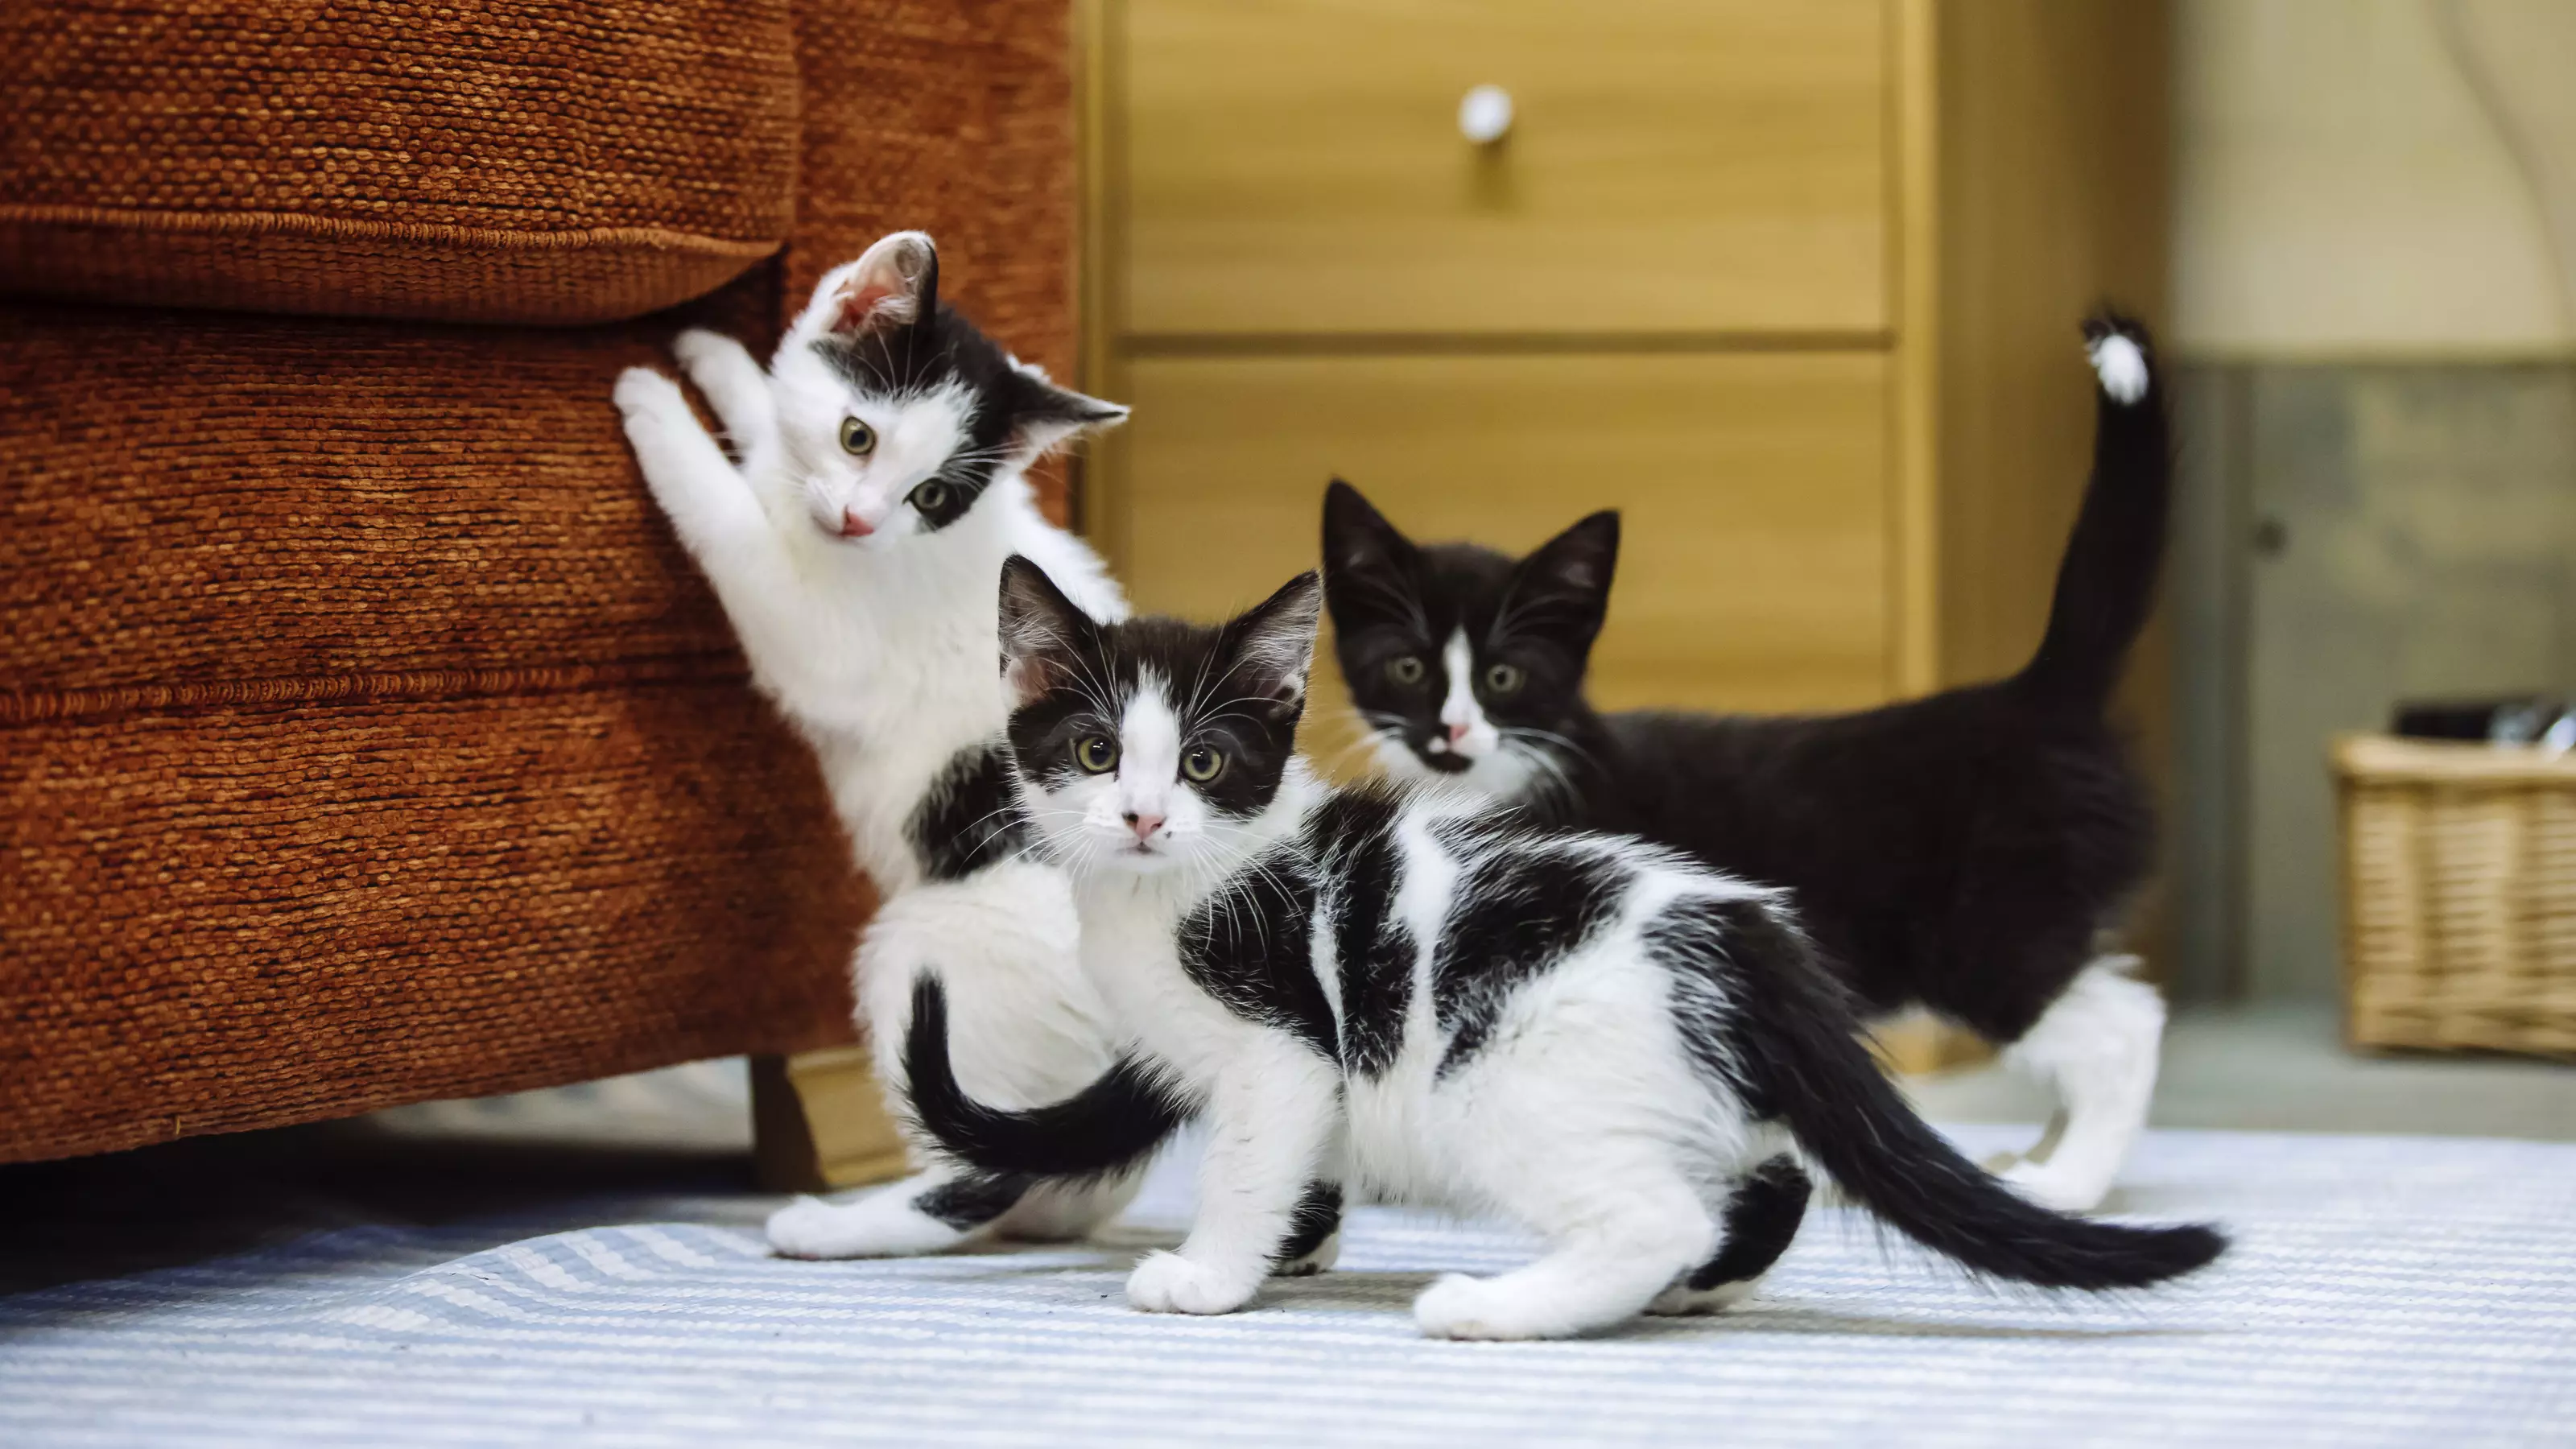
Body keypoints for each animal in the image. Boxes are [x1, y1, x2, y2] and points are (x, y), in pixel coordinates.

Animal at [613, 230, 1138, 1257]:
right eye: (857, 437)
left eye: (928, 494)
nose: (857, 518)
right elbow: (769, 436)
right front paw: (720, 361)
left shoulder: (824, 637)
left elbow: (734, 528)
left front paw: (656, 405)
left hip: (932, 959)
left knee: (985, 1163)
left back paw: (828, 1227)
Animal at [896, 559, 2225, 1340]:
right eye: (1091, 754)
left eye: (1207, 761)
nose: (1139, 817)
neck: (1172, 891)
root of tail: (1750, 941)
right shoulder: (1302, 1080)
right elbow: (1299, 1170)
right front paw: (1296, 1250)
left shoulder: (1281, 1048)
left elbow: (1246, 1163)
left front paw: (1212, 1275)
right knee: (1763, 1178)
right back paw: (1697, 1286)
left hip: (1507, 1074)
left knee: (1654, 1216)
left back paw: (1498, 1307)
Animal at [1329, 313, 2174, 1206]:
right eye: (1408, 669)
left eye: (1503, 678)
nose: (1449, 733)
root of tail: (2034, 695)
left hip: (1989, 928)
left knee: (2123, 1026)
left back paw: (2065, 1181)